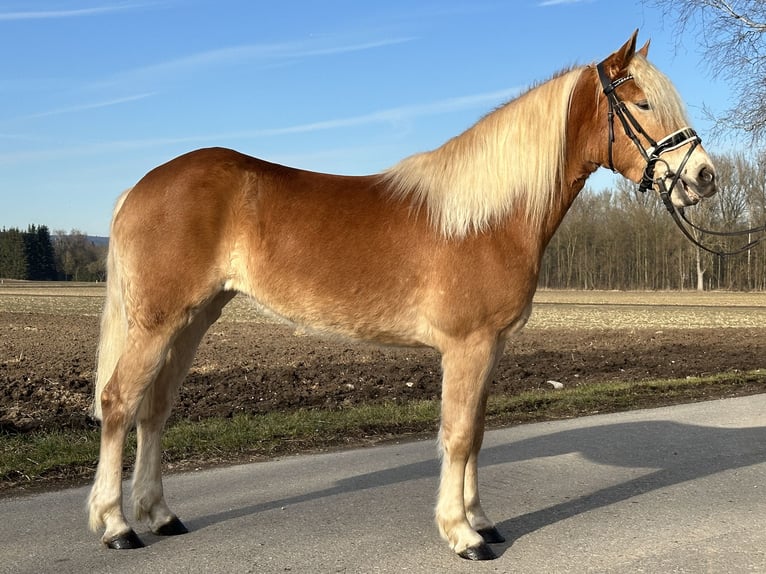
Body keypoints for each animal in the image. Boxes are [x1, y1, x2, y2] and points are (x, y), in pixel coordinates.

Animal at [88, 31, 720, 564]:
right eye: (641, 104)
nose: (705, 178)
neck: (487, 217)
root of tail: (140, 187)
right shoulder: (467, 346)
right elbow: (458, 435)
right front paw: (463, 535)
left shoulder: (489, 348)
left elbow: (477, 432)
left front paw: (481, 520)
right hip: (158, 322)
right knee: (119, 402)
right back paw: (116, 526)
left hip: (192, 319)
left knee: (154, 409)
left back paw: (160, 514)